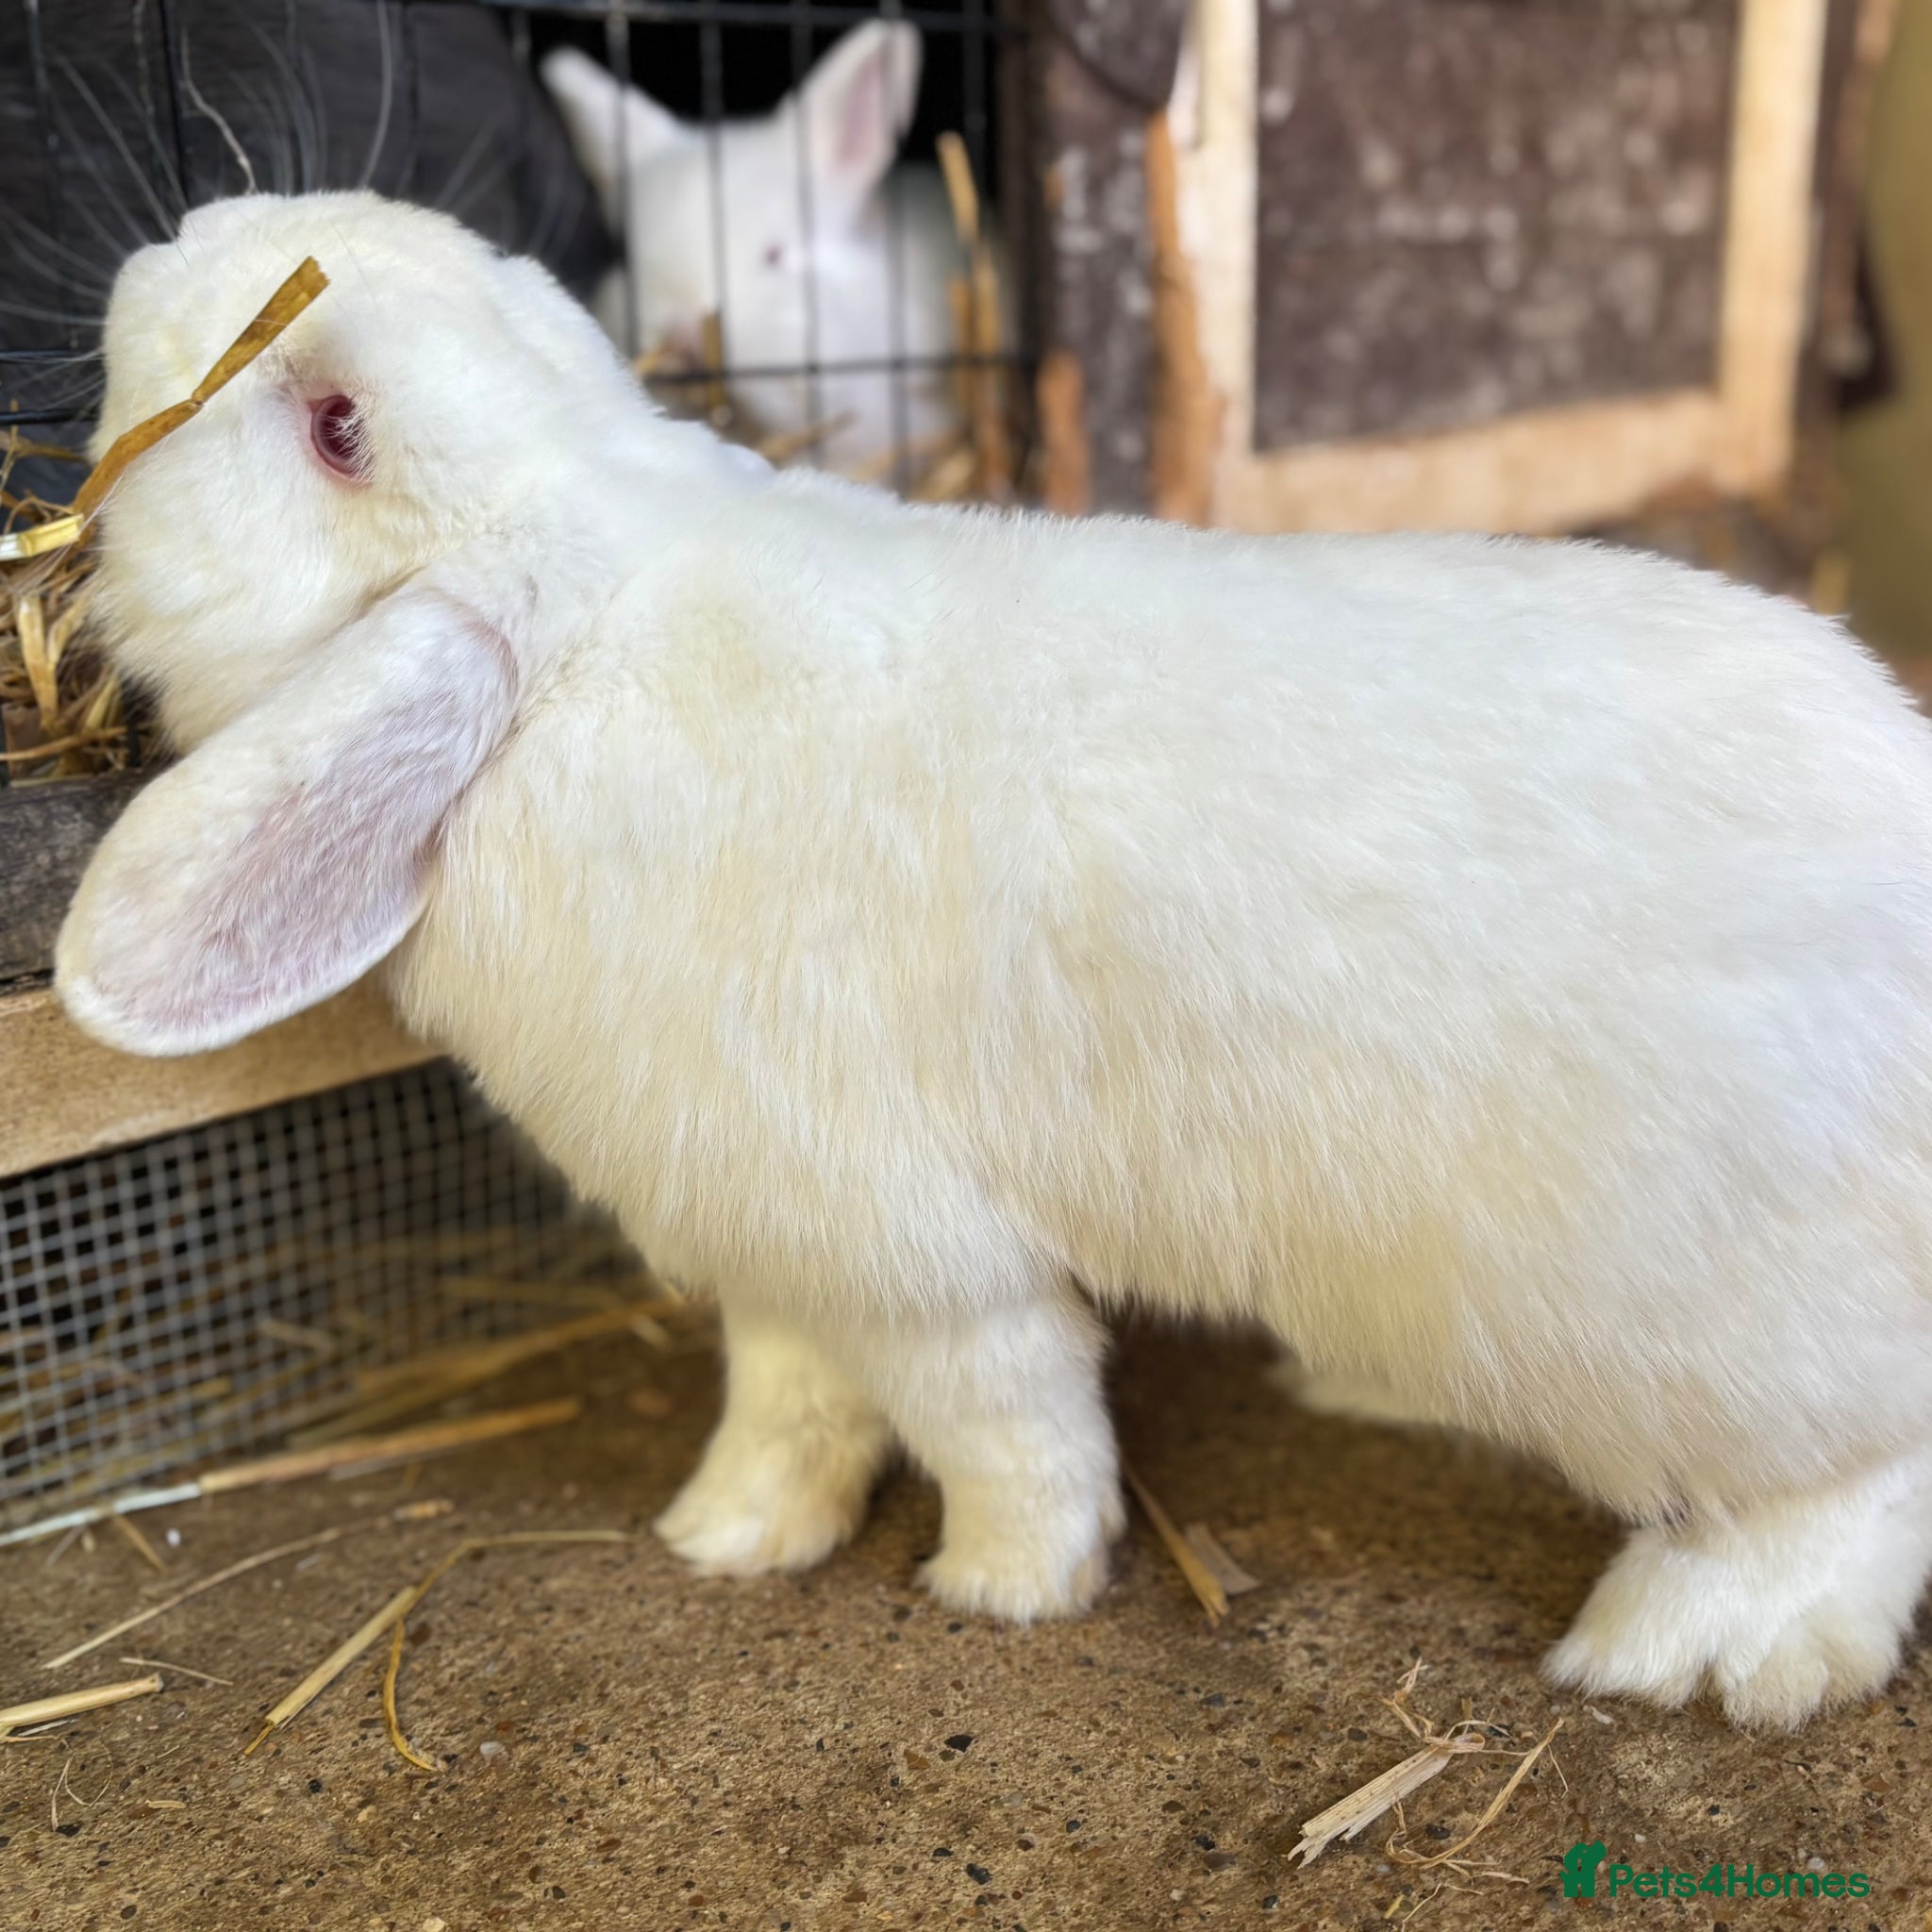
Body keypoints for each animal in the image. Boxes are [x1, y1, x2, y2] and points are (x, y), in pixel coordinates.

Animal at [57, 189, 1932, 1731]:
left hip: (1707, 1346)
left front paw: (1005, 1587)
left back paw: (1694, 1648)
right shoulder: (780, 1258)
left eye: (336, 427)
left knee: (1857, 1481)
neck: (587, 641)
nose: (171, 240)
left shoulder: (915, 1257)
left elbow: (1005, 1421)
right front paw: (726, 1536)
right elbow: (791, 1405)